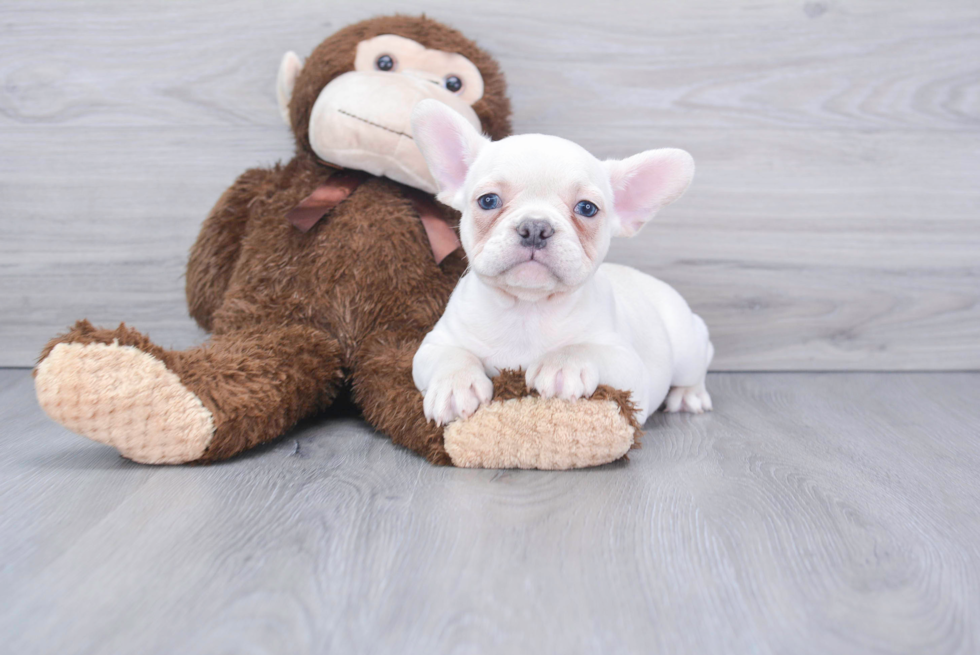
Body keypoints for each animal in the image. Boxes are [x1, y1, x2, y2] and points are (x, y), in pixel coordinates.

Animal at [412, 97, 712, 426]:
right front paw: (454, 385)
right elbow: (450, 355)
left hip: (686, 348)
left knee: (699, 363)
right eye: (488, 201)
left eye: (587, 208)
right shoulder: (434, 343)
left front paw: (563, 364)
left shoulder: (629, 365)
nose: (535, 227)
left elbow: (583, 348)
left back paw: (690, 395)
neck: (526, 309)